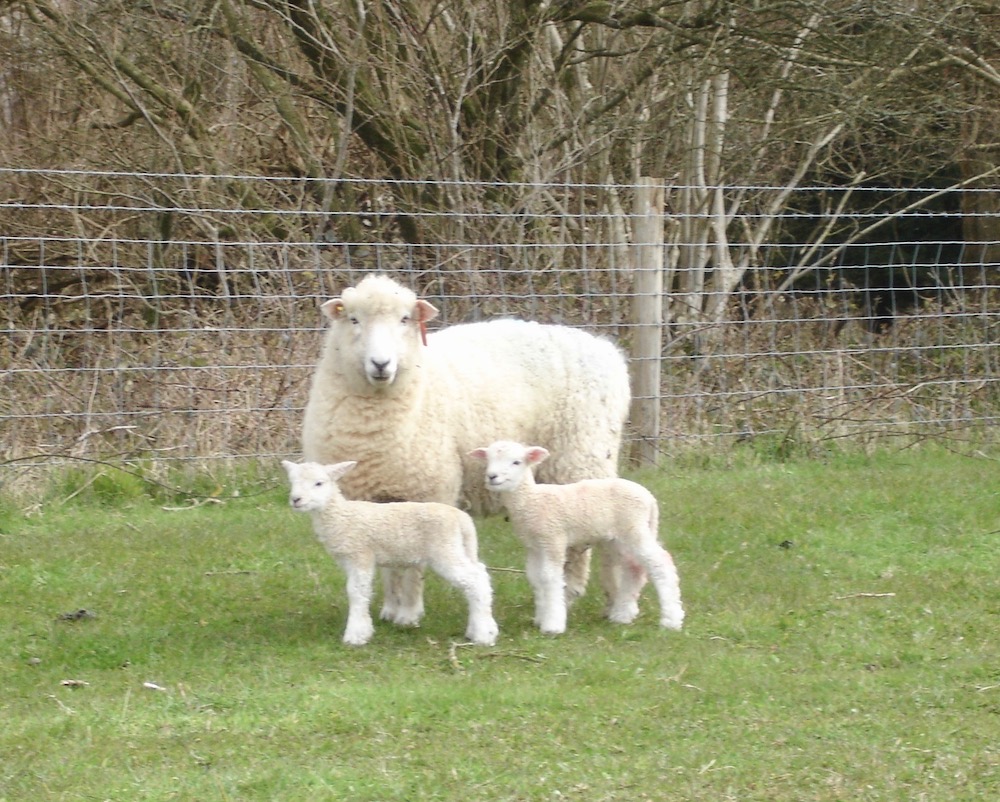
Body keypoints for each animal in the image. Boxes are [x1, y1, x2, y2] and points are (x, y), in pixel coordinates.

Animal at [281, 459, 499, 647]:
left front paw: (355, 635)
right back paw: (479, 628)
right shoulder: (351, 560)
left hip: (444, 549)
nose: (296, 499)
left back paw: (483, 635)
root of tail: (462, 519)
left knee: (476, 581)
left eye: (319, 483)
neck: (340, 516)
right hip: (460, 548)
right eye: (292, 482)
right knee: (480, 573)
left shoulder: (361, 555)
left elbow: (356, 591)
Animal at [301, 273, 631, 628]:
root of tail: (605, 348)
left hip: (583, 459)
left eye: (405, 319)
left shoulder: (427, 491)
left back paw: (590, 598)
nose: (381, 364)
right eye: (353, 319)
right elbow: (390, 558)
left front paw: (409, 613)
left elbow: (413, 563)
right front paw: (390, 608)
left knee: (598, 541)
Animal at [468, 440, 684, 636]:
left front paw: (552, 625)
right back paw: (622, 615)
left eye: (516, 462)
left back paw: (671, 619)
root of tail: (650, 498)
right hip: (620, 537)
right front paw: (540, 617)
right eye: (488, 460)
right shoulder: (534, 545)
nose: (492, 476)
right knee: (635, 567)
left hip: (633, 527)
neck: (531, 500)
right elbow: (536, 577)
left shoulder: (553, 538)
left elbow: (550, 577)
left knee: (661, 563)